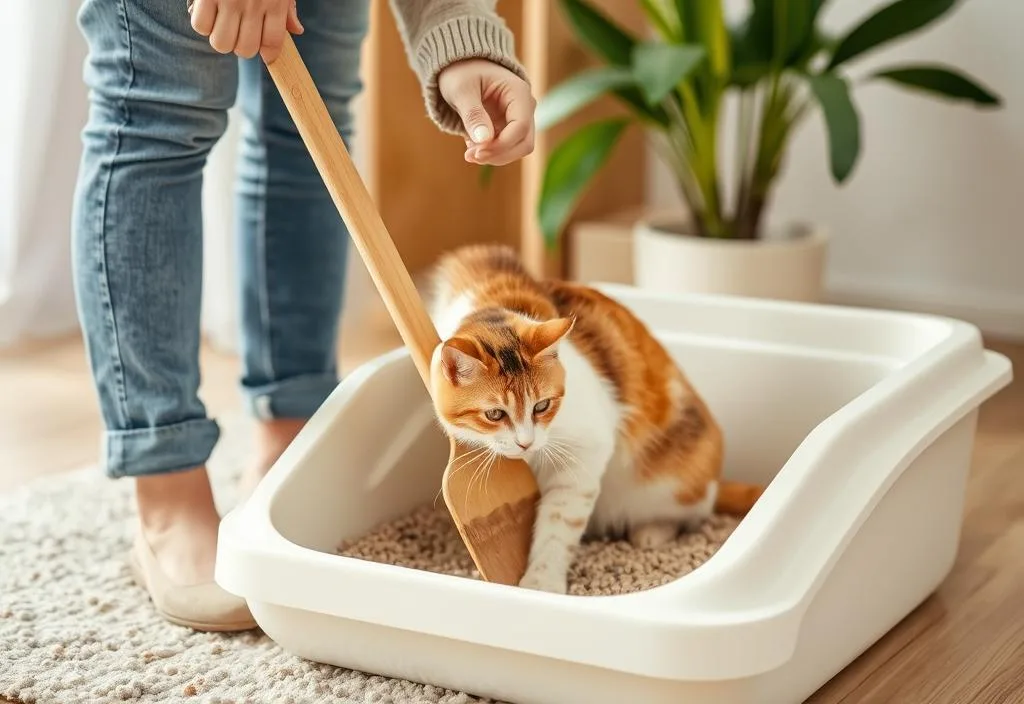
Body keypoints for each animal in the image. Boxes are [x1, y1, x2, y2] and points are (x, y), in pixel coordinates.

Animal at [421, 244, 761, 589]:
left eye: (542, 406)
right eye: (494, 414)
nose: (526, 444)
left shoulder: (585, 446)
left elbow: (559, 523)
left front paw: (541, 582)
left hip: (670, 481)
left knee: (692, 512)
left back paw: (652, 531)